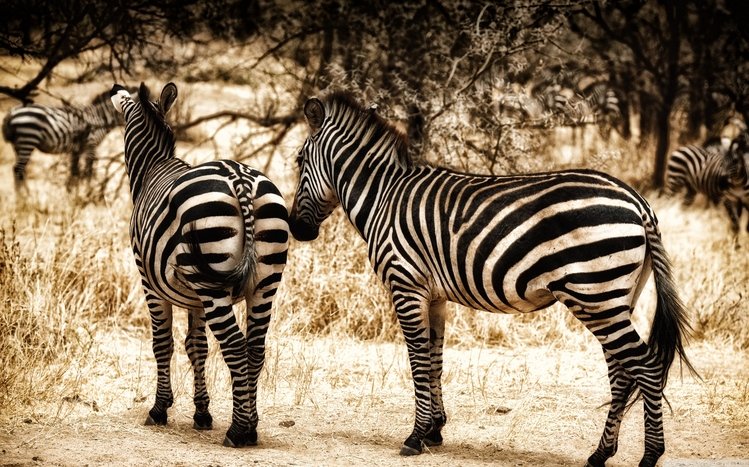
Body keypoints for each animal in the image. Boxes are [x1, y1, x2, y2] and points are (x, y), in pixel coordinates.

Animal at [109, 82, 289, 447]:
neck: (152, 168)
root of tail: (240, 179)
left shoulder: (148, 281)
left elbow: (162, 344)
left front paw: (159, 409)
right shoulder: (195, 298)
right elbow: (197, 347)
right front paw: (202, 413)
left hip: (212, 282)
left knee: (234, 345)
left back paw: (239, 430)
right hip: (264, 280)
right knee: (255, 348)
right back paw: (252, 424)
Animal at [289, 90, 696, 467]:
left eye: (298, 162)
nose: (296, 229)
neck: (383, 197)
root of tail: (638, 202)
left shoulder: (406, 285)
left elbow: (417, 360)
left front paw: (416, 435)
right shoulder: (434, 296)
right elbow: (435, 360)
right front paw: (435, 429)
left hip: (596, 295)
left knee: (646, 366)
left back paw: (650, 455)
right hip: (614, 298)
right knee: (623, 372)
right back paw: (600, 453)